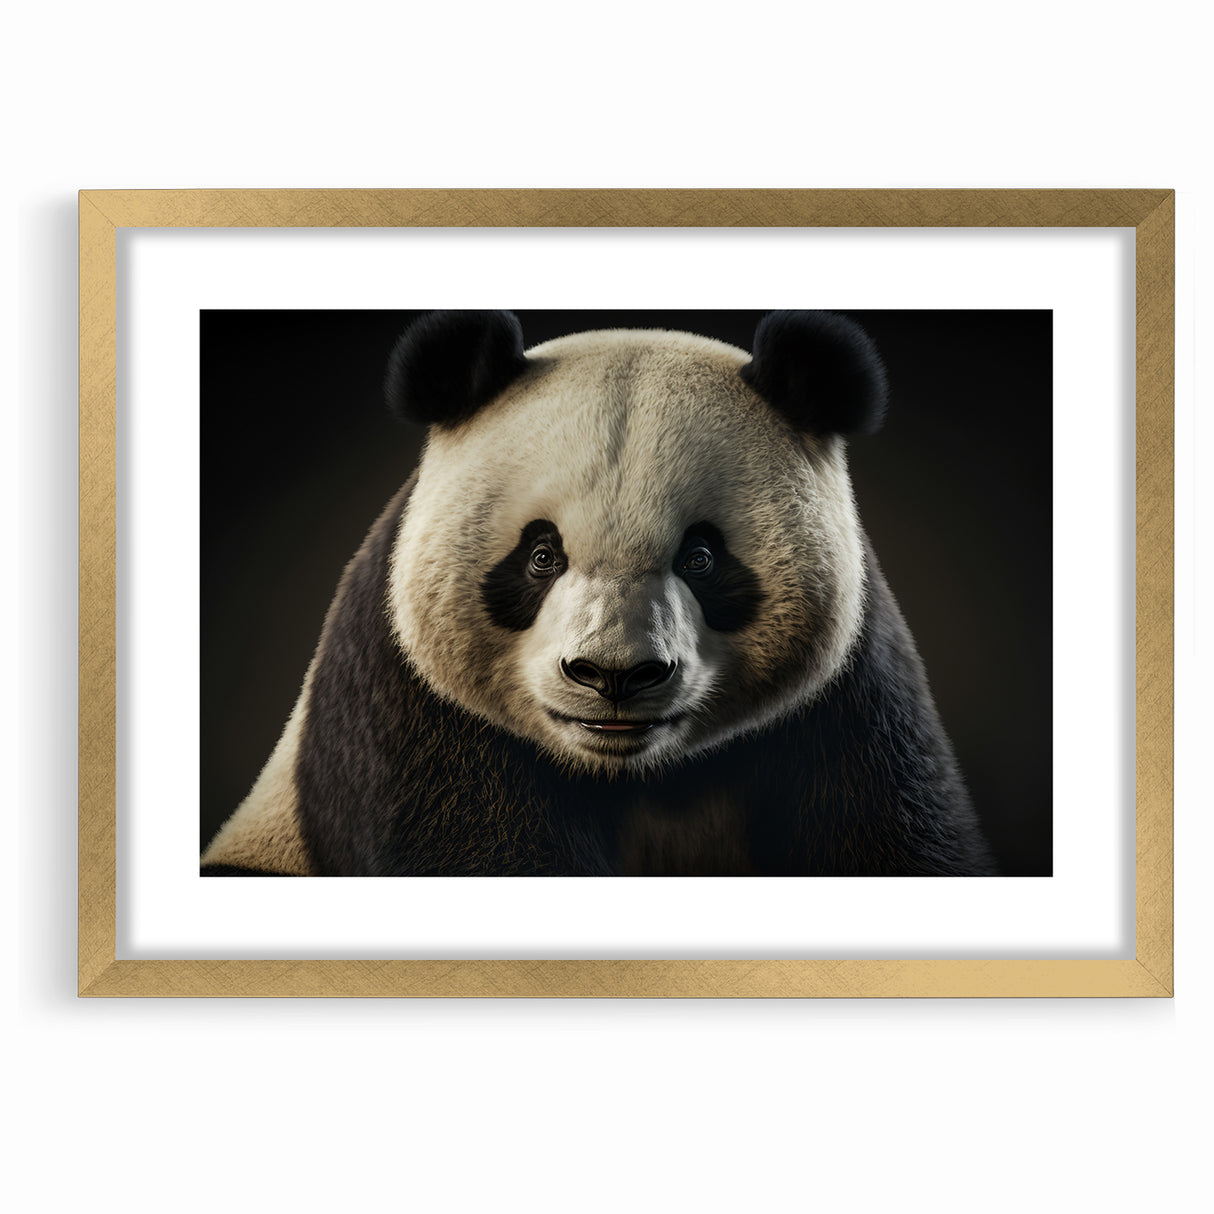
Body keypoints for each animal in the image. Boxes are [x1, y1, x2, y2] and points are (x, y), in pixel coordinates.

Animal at [201, 310, 996, 877]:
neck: (635, 776)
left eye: (701, 558)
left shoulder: (851, 702)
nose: (614, 676)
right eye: (540, 556)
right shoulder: (409, 701)